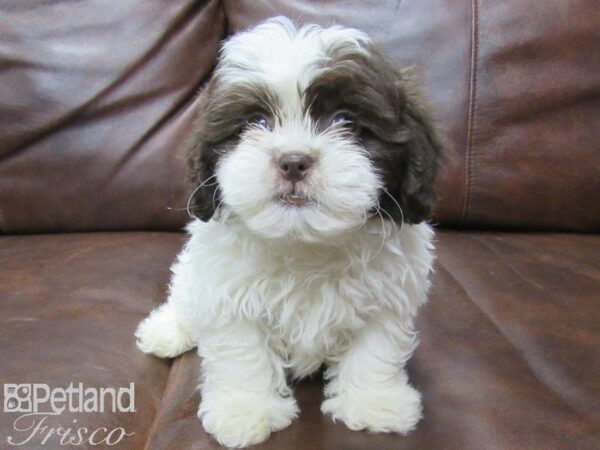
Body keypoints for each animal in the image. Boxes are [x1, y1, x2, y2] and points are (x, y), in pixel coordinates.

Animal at [137, 15, 446, 448]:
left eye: (345, 121)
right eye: (257, 122)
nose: (294, 161)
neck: (304, 245)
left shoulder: (388, 296)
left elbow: (375, 349)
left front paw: (373, 402)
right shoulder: (229, 295)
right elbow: (243, 353)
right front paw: (245, 410)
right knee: (184, 293)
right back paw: (169, 329)